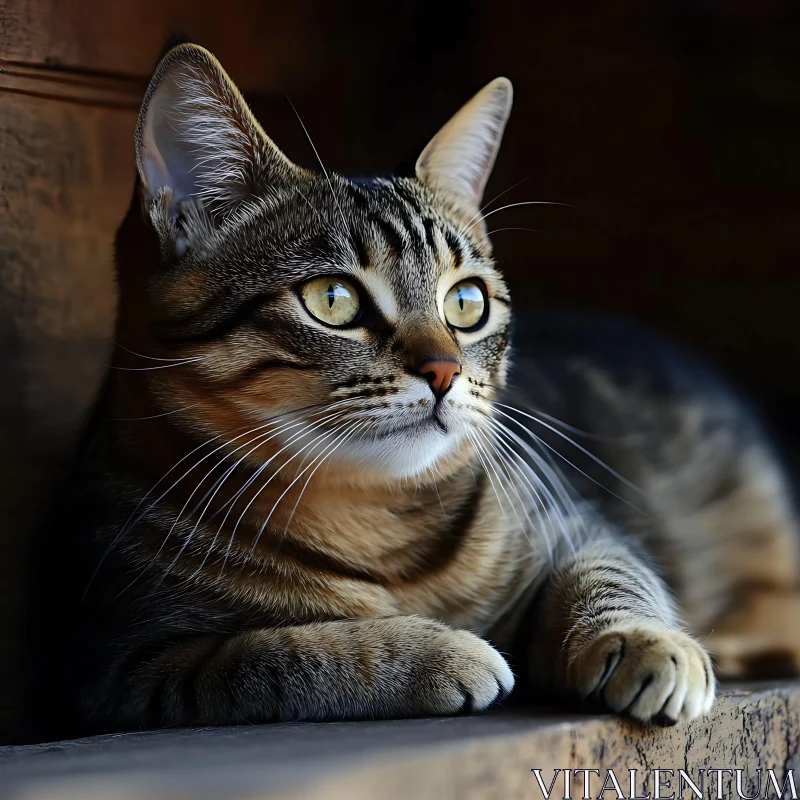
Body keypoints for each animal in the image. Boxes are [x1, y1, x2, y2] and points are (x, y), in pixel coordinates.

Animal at [29, 42, 800, 732]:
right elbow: (284, 653)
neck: (376, 519)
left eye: (466, 303)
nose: (444, 370)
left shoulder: (577, 526)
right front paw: (433, 652)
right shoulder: (124, 668)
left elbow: (611, 575)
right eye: (333, 299)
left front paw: (645, 639)